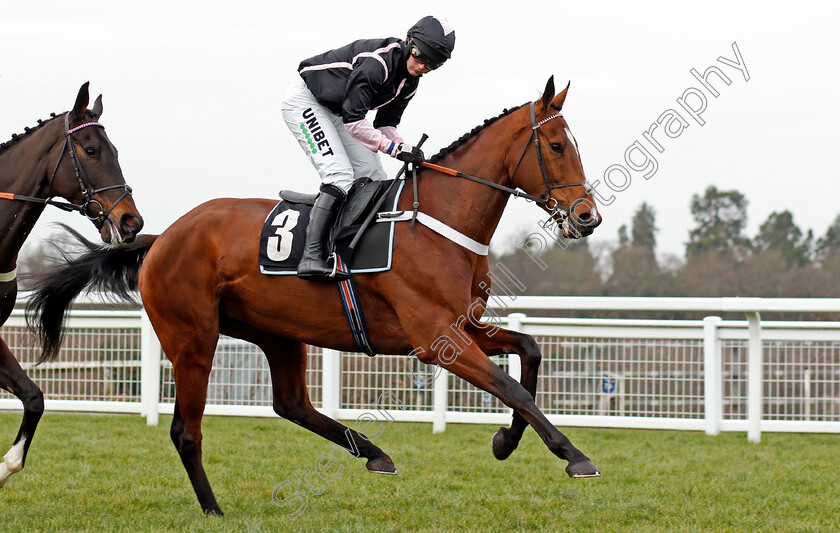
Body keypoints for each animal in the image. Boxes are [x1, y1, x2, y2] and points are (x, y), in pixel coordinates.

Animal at [29, 77, 600, 512]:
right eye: (556, 146)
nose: (586, 216)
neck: (436, 222)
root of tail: (163, 236)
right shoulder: (434, 338)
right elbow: (513, 388)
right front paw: (573, 455)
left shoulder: (463, 326)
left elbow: (529, 351)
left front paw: (505, 441)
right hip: (193, 337)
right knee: (186, 431)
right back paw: (213, 508)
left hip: (276, 332)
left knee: (292, 404)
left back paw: (373, 452)